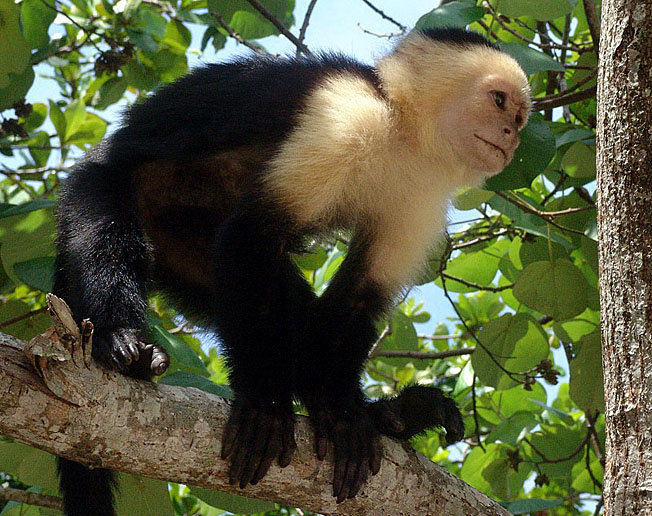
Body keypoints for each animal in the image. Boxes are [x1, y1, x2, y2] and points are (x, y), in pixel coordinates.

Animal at [52, 27, 531, 514]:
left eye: (521, 116)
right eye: (498, 100)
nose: (512, 136)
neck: (404, 134)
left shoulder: (422, 191)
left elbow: (358, 296)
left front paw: (341, 410)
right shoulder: (344, 117)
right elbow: (253, 235)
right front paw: (264, 400)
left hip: (180, 245)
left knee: (288, 303)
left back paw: (394, 416)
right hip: (98, 185)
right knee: (110, 238)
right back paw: (123, 342)